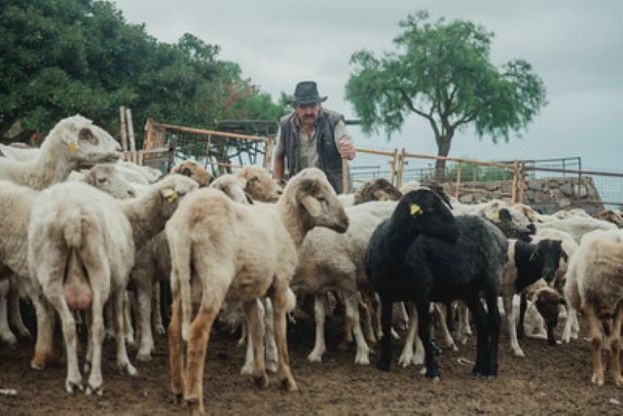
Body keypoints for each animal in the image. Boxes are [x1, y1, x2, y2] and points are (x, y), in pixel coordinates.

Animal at [26, 174, 197, 394]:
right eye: (182, 193)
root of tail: (72, 218)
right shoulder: (125, 279)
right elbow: (120, 319)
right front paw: (126, 360)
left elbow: (90, 322)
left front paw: (88, 360)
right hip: (99, 271)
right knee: (97, 325)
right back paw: (95, 381)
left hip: (51, 273)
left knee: (69, 325)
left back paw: (73, 378)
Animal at [166, 167, 352, 414]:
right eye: (321, 199)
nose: (346, 222)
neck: (286, 225)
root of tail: (187, 223)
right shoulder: (281, 285)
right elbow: (280, 333)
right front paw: (287, 380)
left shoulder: (250, 293)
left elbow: (257, 328)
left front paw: (260, 376)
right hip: (214, 279)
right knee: (197, 332)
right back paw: (195, 400)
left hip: (179, 280)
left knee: (174, 330)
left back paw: (178, 390)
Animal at [366, 189, 508, 380]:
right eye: (431, 209)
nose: (457, 232)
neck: (393, 255)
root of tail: (499, 235)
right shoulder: (385, 293)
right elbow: (386, 324)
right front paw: (383, 363)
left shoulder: (422, 291)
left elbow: (424, 330)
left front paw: (432, 370)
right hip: (469, 289)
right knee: (482, 322)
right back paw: (479, 368)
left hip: (491, 279)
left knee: (494, 321)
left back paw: (491, 369)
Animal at [564, 229, 623, 386]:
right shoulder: (588, 304)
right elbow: (596, 339)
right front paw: (598, 375)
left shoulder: (620, 306)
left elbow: (615, 341)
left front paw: (617, 376)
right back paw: (606, 367)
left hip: (607, 310)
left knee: (611, 335)